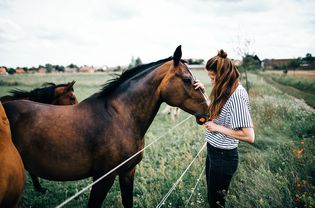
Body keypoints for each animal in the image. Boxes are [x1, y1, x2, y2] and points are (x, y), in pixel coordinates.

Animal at [3, 46, 210, 208]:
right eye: (187, 79)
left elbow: (127, 201)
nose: (209, 110)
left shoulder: (127, 172)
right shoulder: (103, 178)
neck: (118, 118)